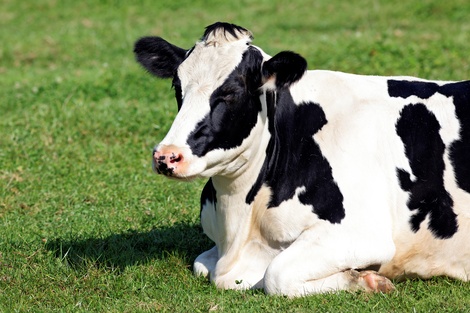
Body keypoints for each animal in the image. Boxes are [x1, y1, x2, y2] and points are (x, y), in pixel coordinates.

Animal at [133, 22, 470, 294]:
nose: (167, 156)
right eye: (177, 86)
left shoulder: (361, 234)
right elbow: (201, 264)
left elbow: (276, 276)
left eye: (231, 92)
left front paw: (367, 280)